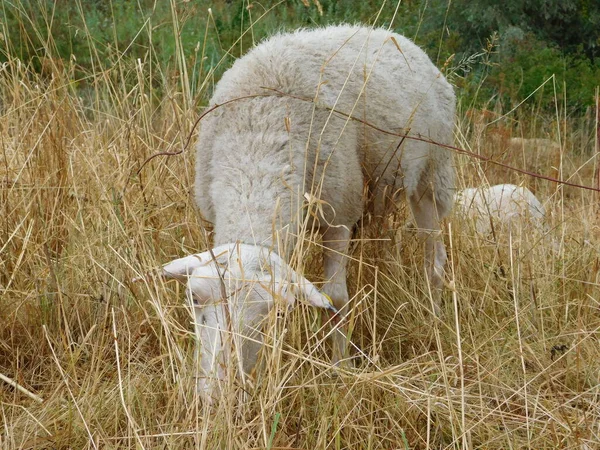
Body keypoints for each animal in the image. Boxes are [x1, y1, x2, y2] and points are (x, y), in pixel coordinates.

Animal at [158, 26, 454, 402]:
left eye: (275, 314)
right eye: (194, 298)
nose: (218, 395)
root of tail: (390, 34)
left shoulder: (339, 215)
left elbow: (336, 298)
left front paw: (341, 370)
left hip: (433, 174)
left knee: (435, 259)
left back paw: (434, 317)